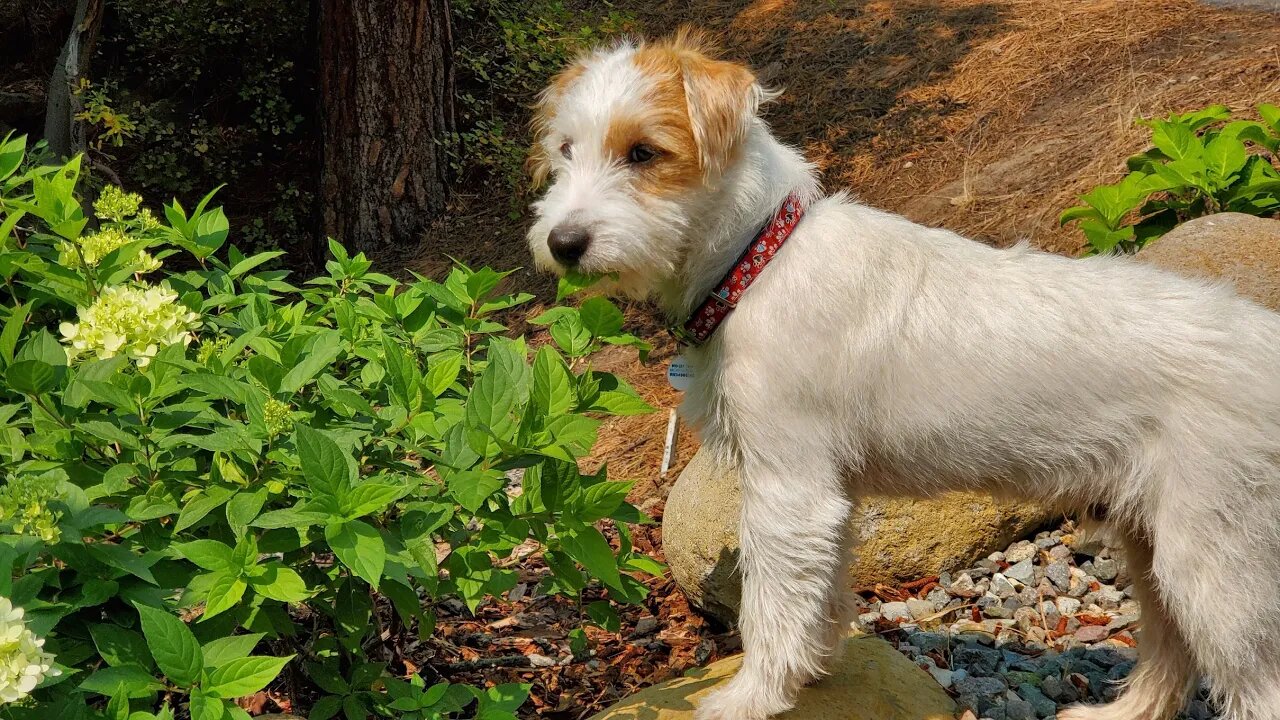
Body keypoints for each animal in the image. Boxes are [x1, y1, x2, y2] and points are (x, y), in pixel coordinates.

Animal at [524, 28, 1280, 717]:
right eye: (565, 151)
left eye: (643, 153)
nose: (563, 243)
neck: (760, 261)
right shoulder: (828, 497)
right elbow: (824, 591)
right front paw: (812, 670)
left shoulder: (788, 491)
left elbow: (772, 605)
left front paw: (752, 697)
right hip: (1152, 542)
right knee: (1171, 648)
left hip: (1213, 562)